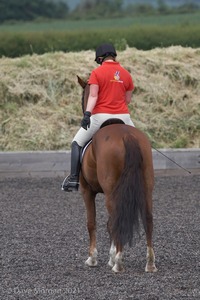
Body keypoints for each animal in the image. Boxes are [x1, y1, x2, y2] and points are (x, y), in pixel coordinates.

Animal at [76, 76, 157, 274]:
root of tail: (127, 136)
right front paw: (110, 257)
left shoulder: (86, 190)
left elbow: (92, 222)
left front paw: (93, 258)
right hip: (146, 187)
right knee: (148, 218)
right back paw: (150, 263)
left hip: (111, 191)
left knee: (116, 219)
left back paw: (118, 262)